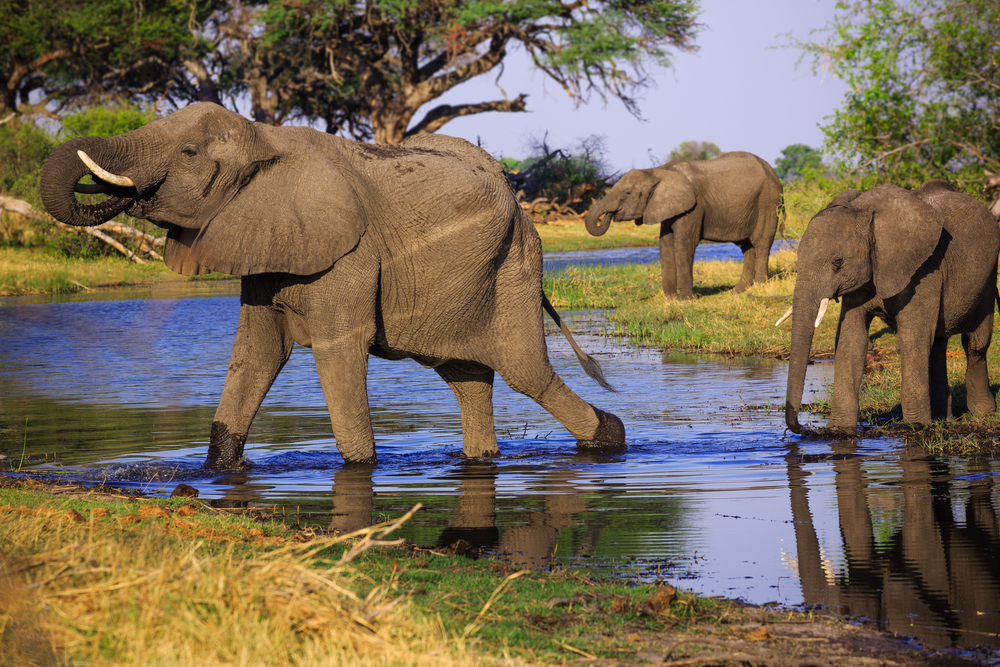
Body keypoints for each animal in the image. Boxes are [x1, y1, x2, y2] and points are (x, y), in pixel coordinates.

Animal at [41, 103, 624, 470]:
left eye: (187, 152)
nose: (126, 191)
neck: (264, 136)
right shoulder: (268, 242)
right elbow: (258, 352)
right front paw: (218, 470)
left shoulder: (350, 258)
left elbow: (337, 347)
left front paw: (361, 466)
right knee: (467, 376)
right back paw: (484, 458)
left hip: (516, 265)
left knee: (526, 372)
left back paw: (610, 438)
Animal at [584, 151, 784, 300]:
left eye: (627, 192)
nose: (609, 215)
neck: (656, 171)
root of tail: (773, 173)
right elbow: (665, 244)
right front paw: (671, 299)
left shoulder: (693, 207)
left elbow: (684, 243)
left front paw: (686, 299)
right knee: (747, 246)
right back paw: (737, 292)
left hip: (768, 202)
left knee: (761, 243)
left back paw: (759, 287)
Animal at [780, 181, 1000, 434]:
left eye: (837, 262)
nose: (802, 428)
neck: (867, 215)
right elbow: (850, 338)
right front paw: (838, 432)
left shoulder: (925, 270)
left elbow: (912, 336)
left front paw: (914, 427)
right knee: (937, 344)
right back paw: (942, 419)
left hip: (988, 278)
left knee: (975, 345)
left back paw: (982, 413)